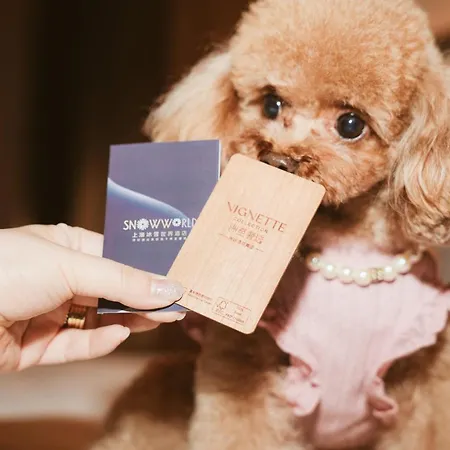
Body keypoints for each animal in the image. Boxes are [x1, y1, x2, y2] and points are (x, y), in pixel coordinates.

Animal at [91, 0, 450, 448]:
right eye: (271, 104)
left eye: (351, 124)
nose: (278, 160)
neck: (347, 252)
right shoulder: (241, 364)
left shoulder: (424, 391)